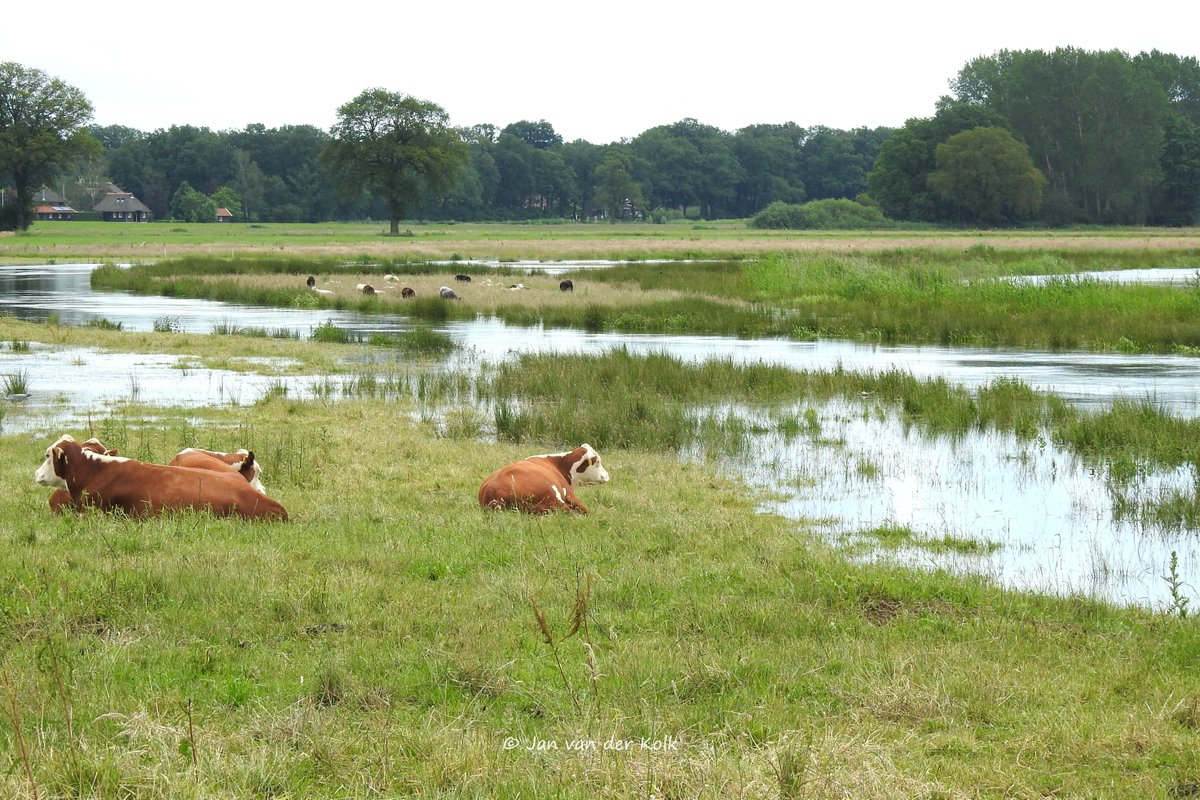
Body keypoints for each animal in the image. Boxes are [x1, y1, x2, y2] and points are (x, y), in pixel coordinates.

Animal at [478, 444, 609, 514]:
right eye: (598, 461)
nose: (607, 475)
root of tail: (490, 489)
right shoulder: (569, 494)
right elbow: (586, 510)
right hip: (551, 495)